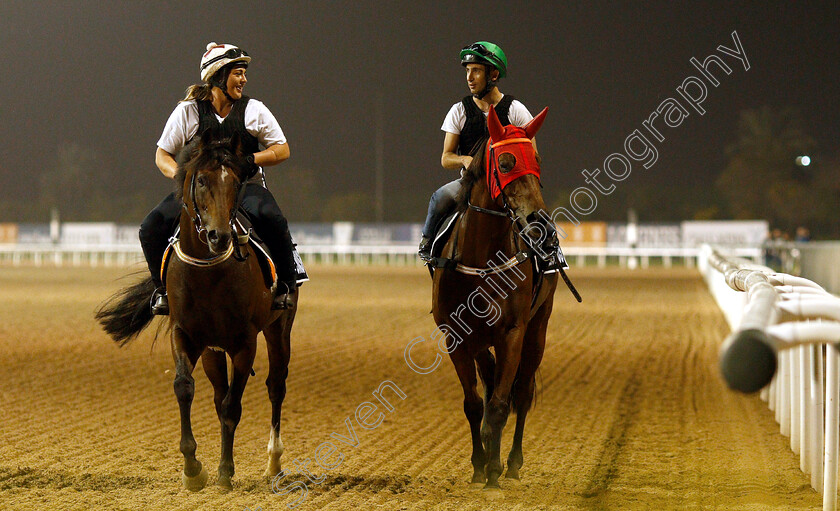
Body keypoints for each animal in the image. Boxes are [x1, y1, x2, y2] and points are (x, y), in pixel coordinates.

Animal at [96, 129, 296, 492]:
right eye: (201, 180)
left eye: (236, 181)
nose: (219, 236)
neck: (208, 270)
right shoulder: (185, 333)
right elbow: (185, 387)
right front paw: (193, 469)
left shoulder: (245, 342)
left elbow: (233, 405)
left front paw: (225, 471)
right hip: (212, 350)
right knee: (219, 394)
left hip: (279, 329)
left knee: (276, 385)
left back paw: (274, 463)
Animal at [434, 106, 556, 494]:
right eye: (504, 162)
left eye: (537, 160)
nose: (542, 227)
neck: (482, 260)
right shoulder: (455, 336)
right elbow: (475, 404)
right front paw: (479, 464)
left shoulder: (512, 333)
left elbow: (502, 404)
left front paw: (493, 471)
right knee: (488, 387)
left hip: (538, 329)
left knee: (522, 392)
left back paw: (512, 462)